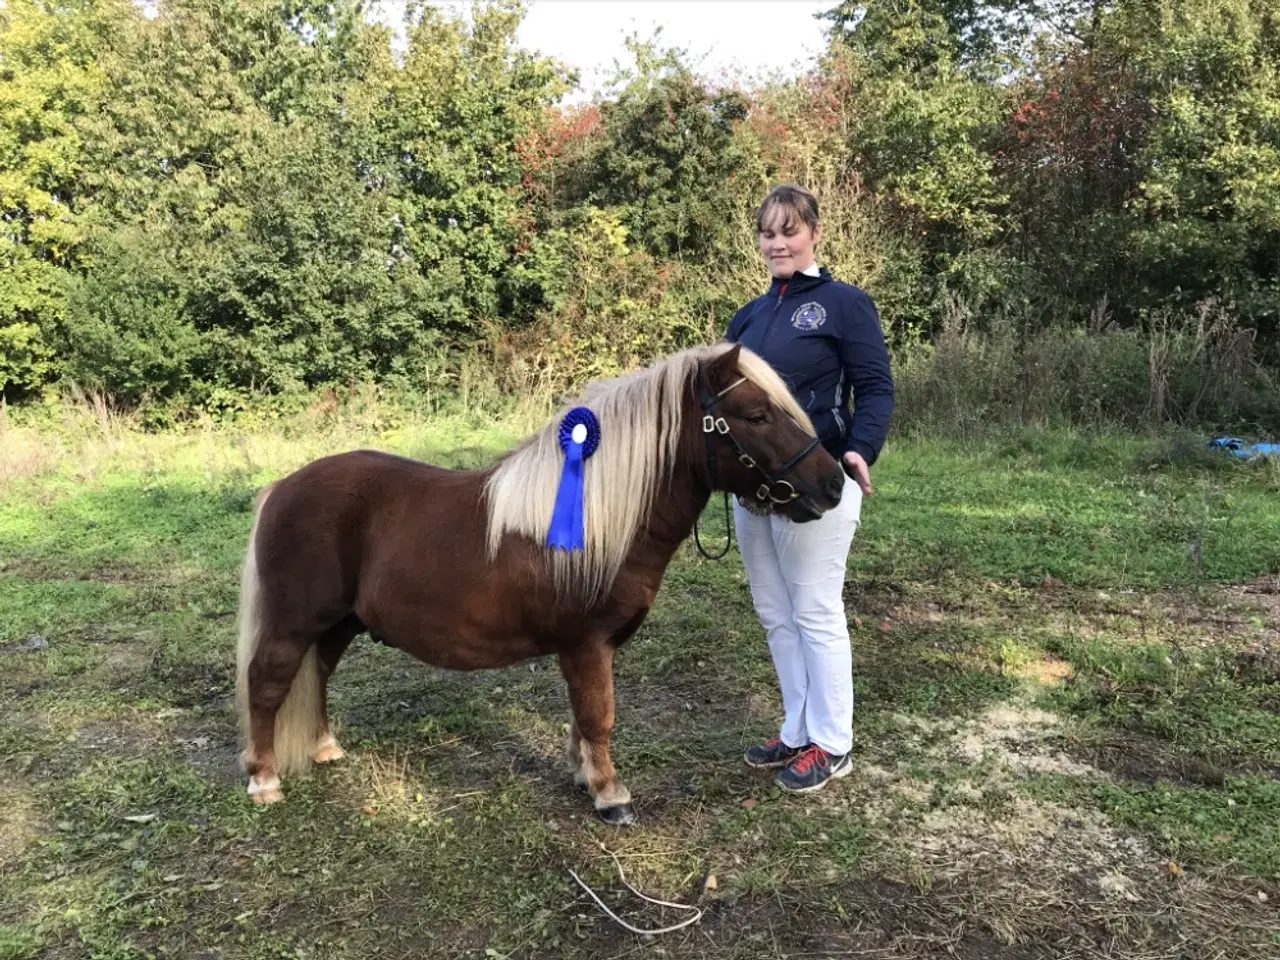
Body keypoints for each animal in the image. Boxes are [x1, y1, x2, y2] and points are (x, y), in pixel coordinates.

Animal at [235, 343, 844, 824]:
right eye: (757, 415)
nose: (834, 483)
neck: (598, 518)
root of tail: (281, 487)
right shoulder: (587, 644)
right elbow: (599, 715)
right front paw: (610, 794)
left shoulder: (594, 650)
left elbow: (584, 716)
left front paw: (584, 773)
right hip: (294, 623)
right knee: (267, 683)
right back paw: (264, 778)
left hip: (339, 622)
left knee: (317, 673)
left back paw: (324, 747)